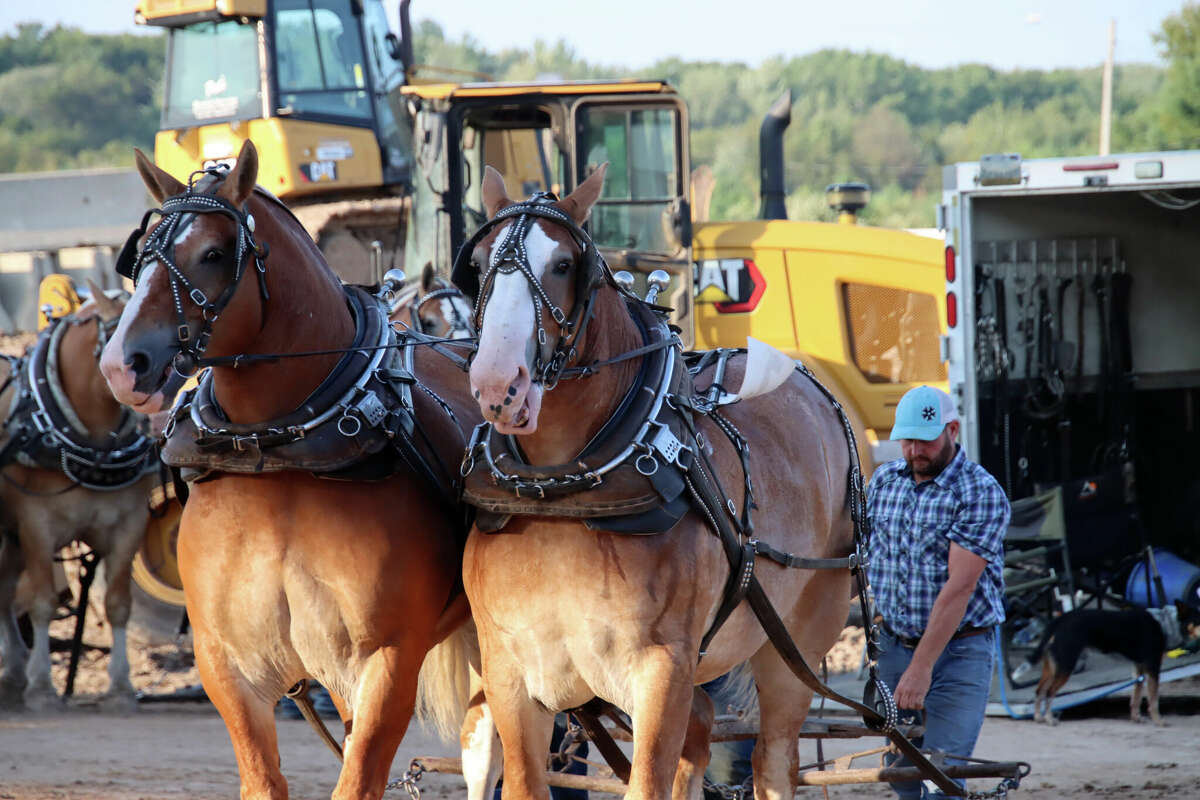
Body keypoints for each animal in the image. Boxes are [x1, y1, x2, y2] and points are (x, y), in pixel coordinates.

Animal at [0, 283, 157, 710]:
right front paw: (42, 685)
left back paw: (14, 670)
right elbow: (42, 601)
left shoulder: (129, 524)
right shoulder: (36, 524)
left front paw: (121, 687)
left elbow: (118, 603)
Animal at [99, 140, 480, 800]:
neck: (277, 453)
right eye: (141, 255)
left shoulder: (386, 662)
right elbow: (264, 777)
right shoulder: (229, 664)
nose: (122, 364)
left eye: (214, 253)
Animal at [457, 165, 859, 800]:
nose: (499, 385)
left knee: (774, 759)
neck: (564, 495)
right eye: (477, 265)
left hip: (797, 639)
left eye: (564, 264)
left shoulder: (662, 671)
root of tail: (814, 387)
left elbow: (648, 780)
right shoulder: (509, 672)